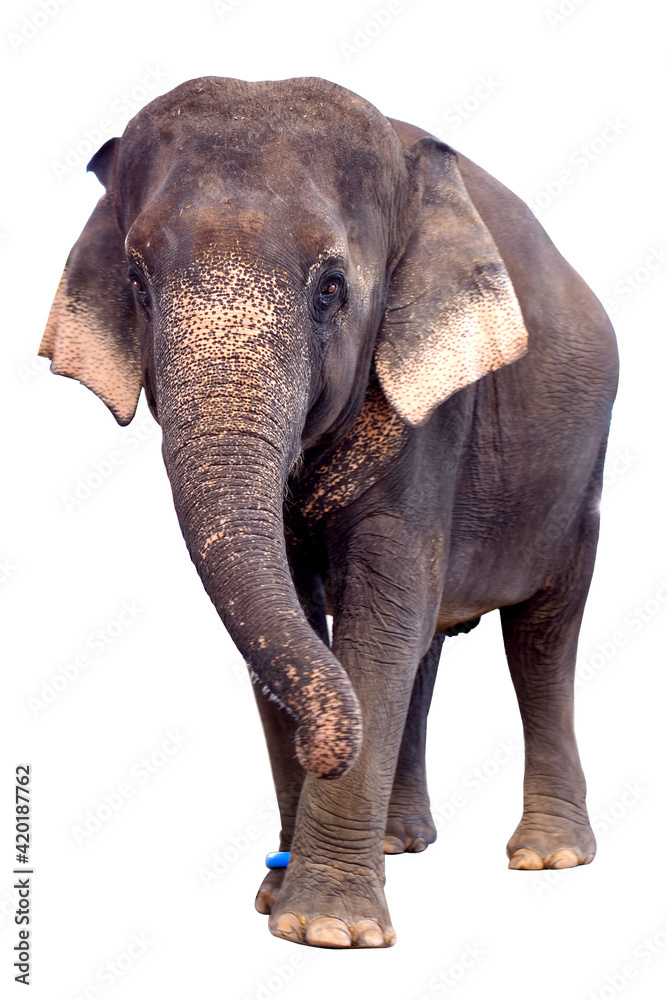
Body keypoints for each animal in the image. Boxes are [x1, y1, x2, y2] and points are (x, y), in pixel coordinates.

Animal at [39, 76, 619, 949]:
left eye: (330, 290)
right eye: (137, 283)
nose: (273, 872)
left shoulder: (433, 412)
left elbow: (380, 611)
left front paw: (324, 930)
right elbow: (309, 614)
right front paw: (279, 903)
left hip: (578, 480)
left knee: (542, 633)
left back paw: (546, 857)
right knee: (428, 641)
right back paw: (401, 842)